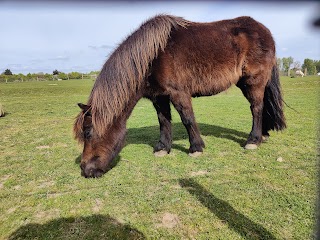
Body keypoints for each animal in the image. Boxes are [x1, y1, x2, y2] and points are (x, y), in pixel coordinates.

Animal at [74, 14, 286, 177]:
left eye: (88, 133)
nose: (86, 170)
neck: (152, 57)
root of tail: (264, 30)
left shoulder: (178, 94)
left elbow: (187, 119)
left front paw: (196, 148)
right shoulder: (159, 97)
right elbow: (164, 121)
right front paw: (162, 148)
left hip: (253, 81)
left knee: (256, 108)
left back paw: (253, 141)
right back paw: (263, 135)